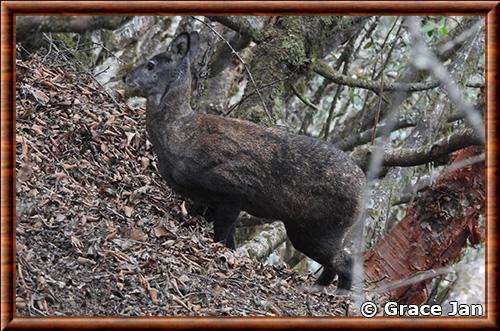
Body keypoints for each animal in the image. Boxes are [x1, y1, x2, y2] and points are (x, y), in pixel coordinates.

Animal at [123, 31, 366, 290]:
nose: (125, 76)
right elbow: (227, 239)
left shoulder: (235, 188)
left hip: (318, 229)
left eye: (151, 64)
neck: (178, 136)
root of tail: (363, 191)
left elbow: (222, 236)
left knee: (346, 263)